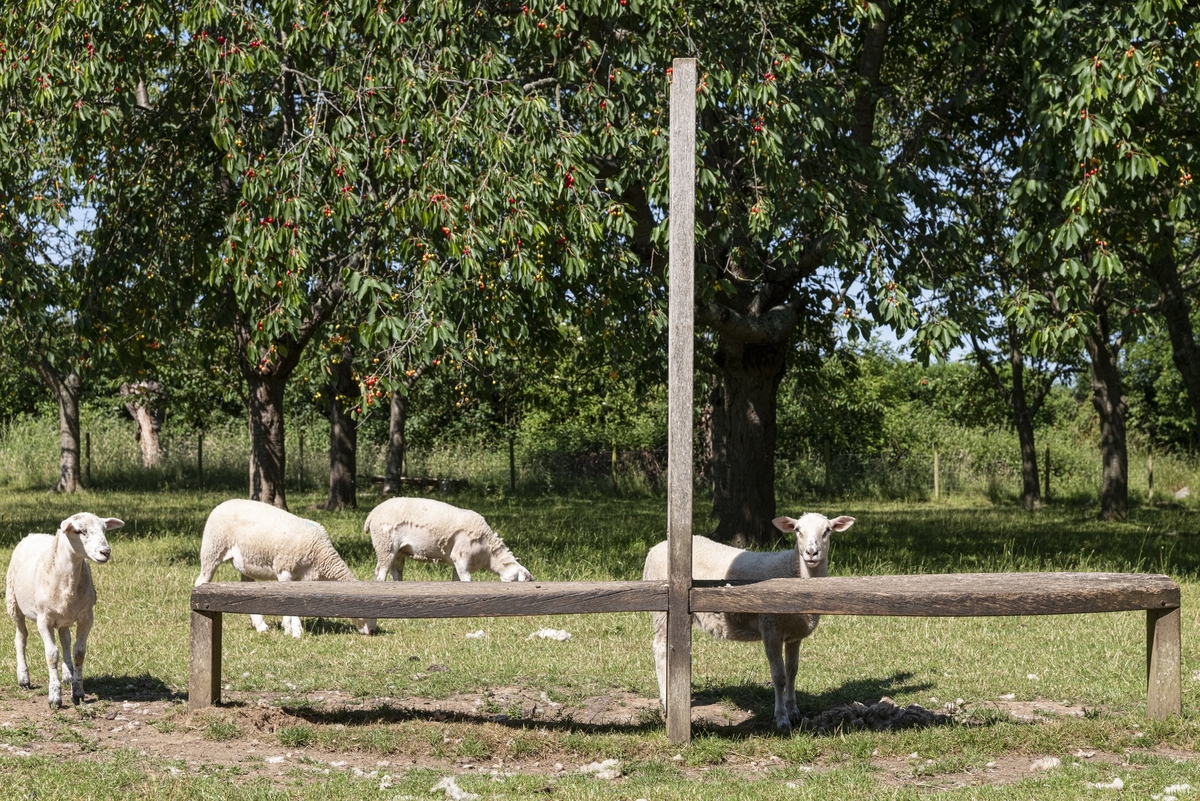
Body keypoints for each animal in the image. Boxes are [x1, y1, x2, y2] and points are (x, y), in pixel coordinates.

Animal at [6, 513, 124, 705]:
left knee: (65, 639)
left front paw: (78, 691)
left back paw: (68, 675)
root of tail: (33, 534)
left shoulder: (86, 617)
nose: (105, 552)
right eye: (79, 531)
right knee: (21, 638)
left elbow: (79, 652)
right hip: (13, 603)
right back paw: (24, 678)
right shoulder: (43, 619)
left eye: (104, 529)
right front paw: (54, 696)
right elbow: (52, 655)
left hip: (64, 617)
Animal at [194, 501, 376, 637]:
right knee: (200, 580)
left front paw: (291, 628)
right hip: (213, 549)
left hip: (245, 562)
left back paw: (261, 626)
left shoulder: (300, 578)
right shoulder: (284, 570)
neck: (321, 555)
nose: (372, 632)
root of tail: (221, 504)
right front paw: (293, 630)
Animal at [364, 494, 535, 582]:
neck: (489, 554)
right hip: (385, 544)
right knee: (380, 573)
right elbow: (467, 580)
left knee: (395, 572)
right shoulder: (461, 557)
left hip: (399, 551)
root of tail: (372, 513)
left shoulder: (457, 563)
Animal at [648, 513, 854, 733]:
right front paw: (781, 718)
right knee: (660, 648)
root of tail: (657, 547)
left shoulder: (794, 635)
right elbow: (779, 676)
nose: (811, 552)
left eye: (827, 531)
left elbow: (792, 672)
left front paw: (794, 712)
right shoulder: (770, 628)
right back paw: (666, 701)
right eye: (798, 530)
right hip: (662, 610)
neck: (795, 572)